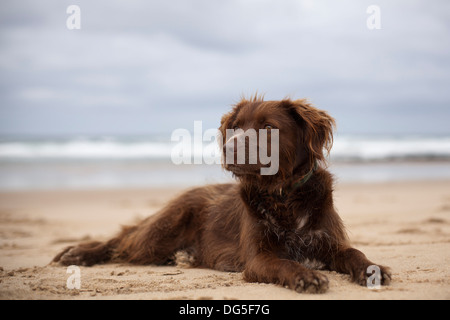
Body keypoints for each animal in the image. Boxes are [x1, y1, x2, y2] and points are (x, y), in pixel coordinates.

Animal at [52, 96, 390, 294]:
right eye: (236, 127)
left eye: (269, 127)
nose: (228, 148)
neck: (282, 195)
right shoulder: (258, 258)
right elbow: (285, 264)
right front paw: (305, 276)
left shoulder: (329, 242)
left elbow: (355, 253)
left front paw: (373, 269)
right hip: (160, 232)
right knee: (121, 241)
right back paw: (77, 253)